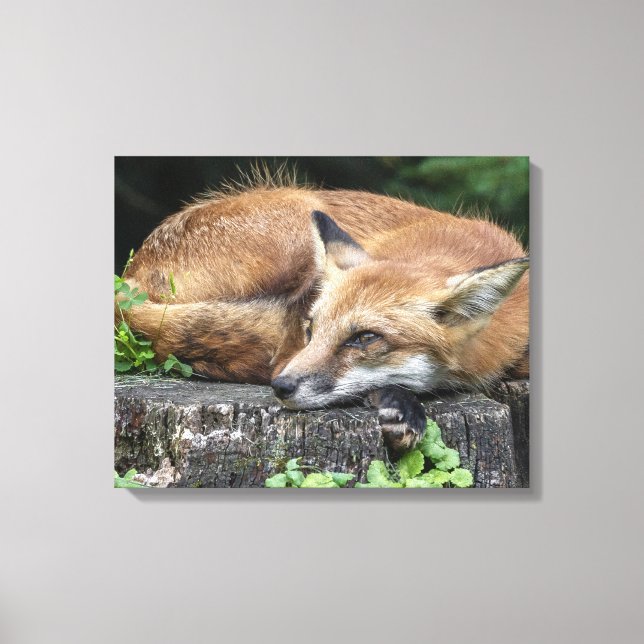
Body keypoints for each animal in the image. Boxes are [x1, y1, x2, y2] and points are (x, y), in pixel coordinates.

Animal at [119, 178, 529, 453]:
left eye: (365, 338)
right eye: (311, 330)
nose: (280, 387)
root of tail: (128, 278)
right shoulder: (291, 343)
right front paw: (402, 407)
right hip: (298, 225)